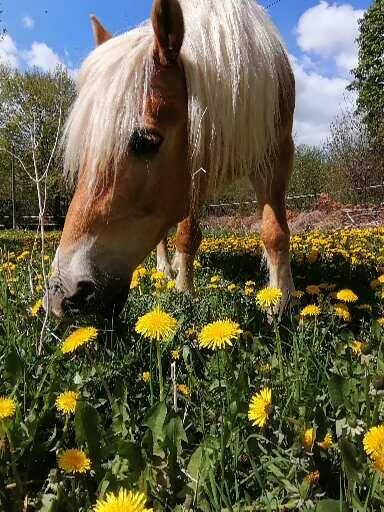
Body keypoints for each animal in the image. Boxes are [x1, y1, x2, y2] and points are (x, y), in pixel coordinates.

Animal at [46, 0, 296, 318]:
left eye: (145, 142)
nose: (61, 293)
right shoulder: (194, 169)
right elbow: (186, 234)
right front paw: (184, 289)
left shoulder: (276, 157)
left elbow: (275, 232)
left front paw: (281, 299)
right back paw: (167, 267)